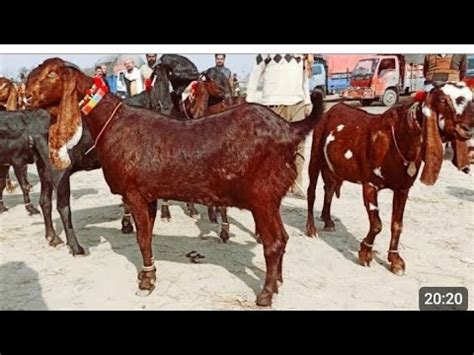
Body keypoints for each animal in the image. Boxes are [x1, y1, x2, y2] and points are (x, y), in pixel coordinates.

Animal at [25, 58, 322, 306]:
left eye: (51, 74)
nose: (26, 96)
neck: (112, 122)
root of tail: (289, 129)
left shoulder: (134, 193)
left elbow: (142, 238)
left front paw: (146, 283)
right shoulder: (149, 194)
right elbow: (147, 236)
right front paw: (148, 274)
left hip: (262, 196)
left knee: (274, 242)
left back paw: (266, 294)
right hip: (272, 198)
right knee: (283, 238)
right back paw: (278, 283)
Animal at [306, 82, 472, 276]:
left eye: (471, 99)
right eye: (444, 100)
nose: (467, 129)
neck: (398, 138)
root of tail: (333, 109)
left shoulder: (403, 188)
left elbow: (397, 225)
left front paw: (395, 260)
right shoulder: (370, 185)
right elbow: (377, 224)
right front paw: (365, 253)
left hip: (334, 168)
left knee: (330, 188)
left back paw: (328, 220)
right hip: (316, 155)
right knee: (311, 191)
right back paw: (311, 228)